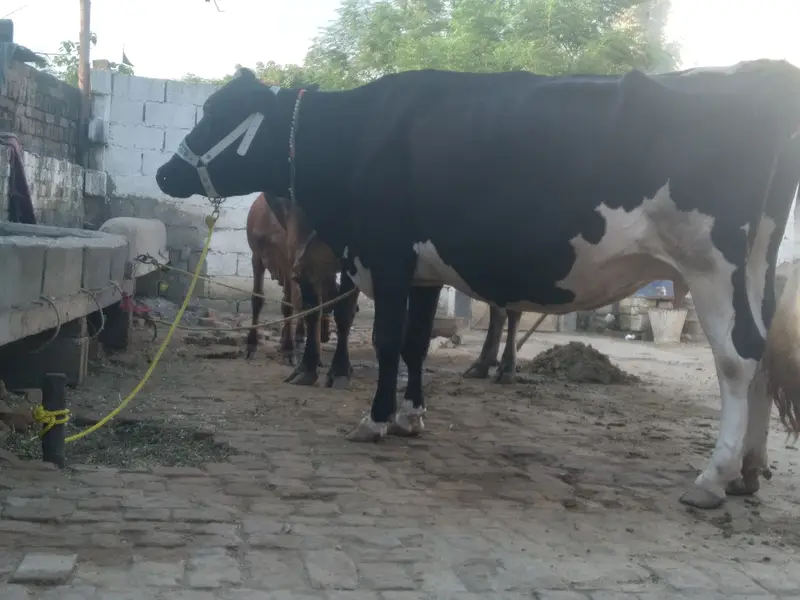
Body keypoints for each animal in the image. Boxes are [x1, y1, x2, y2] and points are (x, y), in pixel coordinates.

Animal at [155, 60, 800, 511]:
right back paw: (748, 472)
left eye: (216, 112)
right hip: (757, 262)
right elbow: (415, 344)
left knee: (739, 358)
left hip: (712, 262)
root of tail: (765, 72)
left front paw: (376, 419)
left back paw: (712, 478)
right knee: (764, 354)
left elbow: (386, 342)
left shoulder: (387, 255)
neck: (357, 136)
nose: (164, 173)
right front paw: (412, 417)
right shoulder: (421, 269)